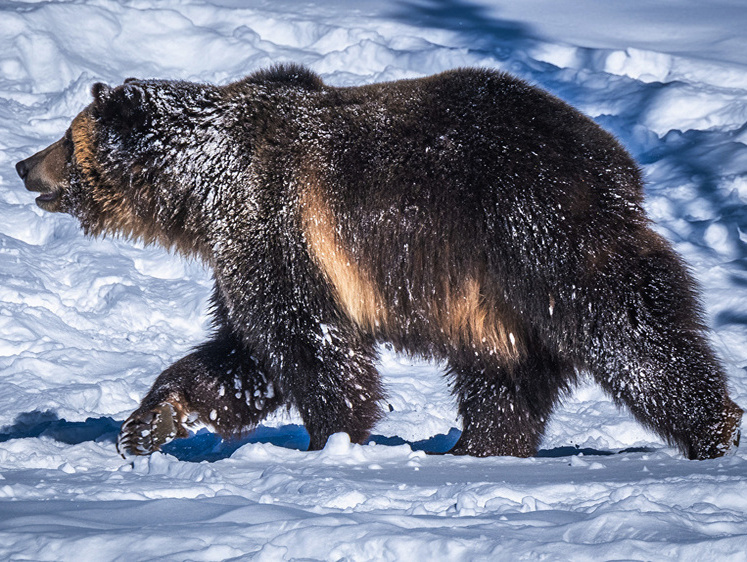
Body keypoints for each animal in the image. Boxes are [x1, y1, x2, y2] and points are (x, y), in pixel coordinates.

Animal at [16, 64, 744, 460]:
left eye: (68, 138)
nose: (24, 164)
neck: (202, 185)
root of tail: (620, 164)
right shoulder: (244, 248)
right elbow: (241, 355)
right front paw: (148, 424)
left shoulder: (277, 221)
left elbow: (307, 342)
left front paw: (331, 440)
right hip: (491, 295)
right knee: (504, 374)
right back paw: (478, 448)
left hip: (536, 232)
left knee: (633, 333)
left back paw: (714, 427)